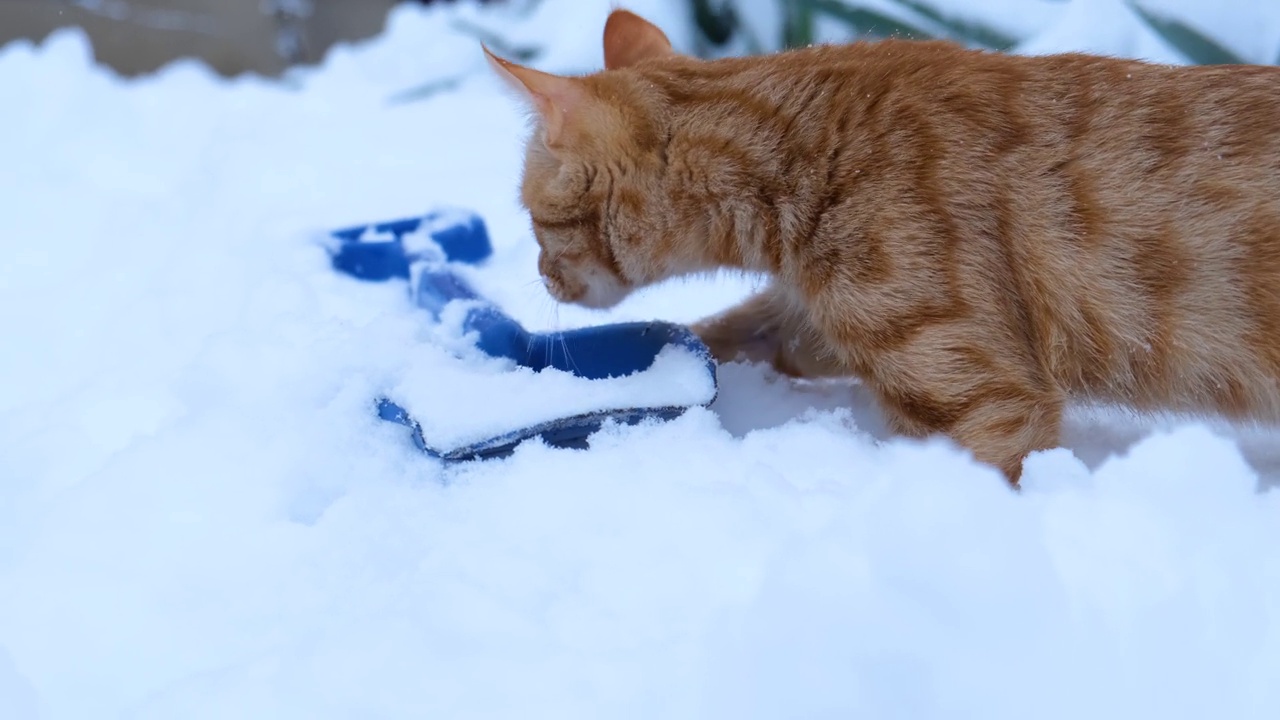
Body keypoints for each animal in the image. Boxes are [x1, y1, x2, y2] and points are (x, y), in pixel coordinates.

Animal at [481, 8, 1280, 481]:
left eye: (531, 219)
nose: (542, 277)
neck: (796, 151)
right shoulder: (810, 327)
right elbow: (720, 331)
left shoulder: (984, 402)